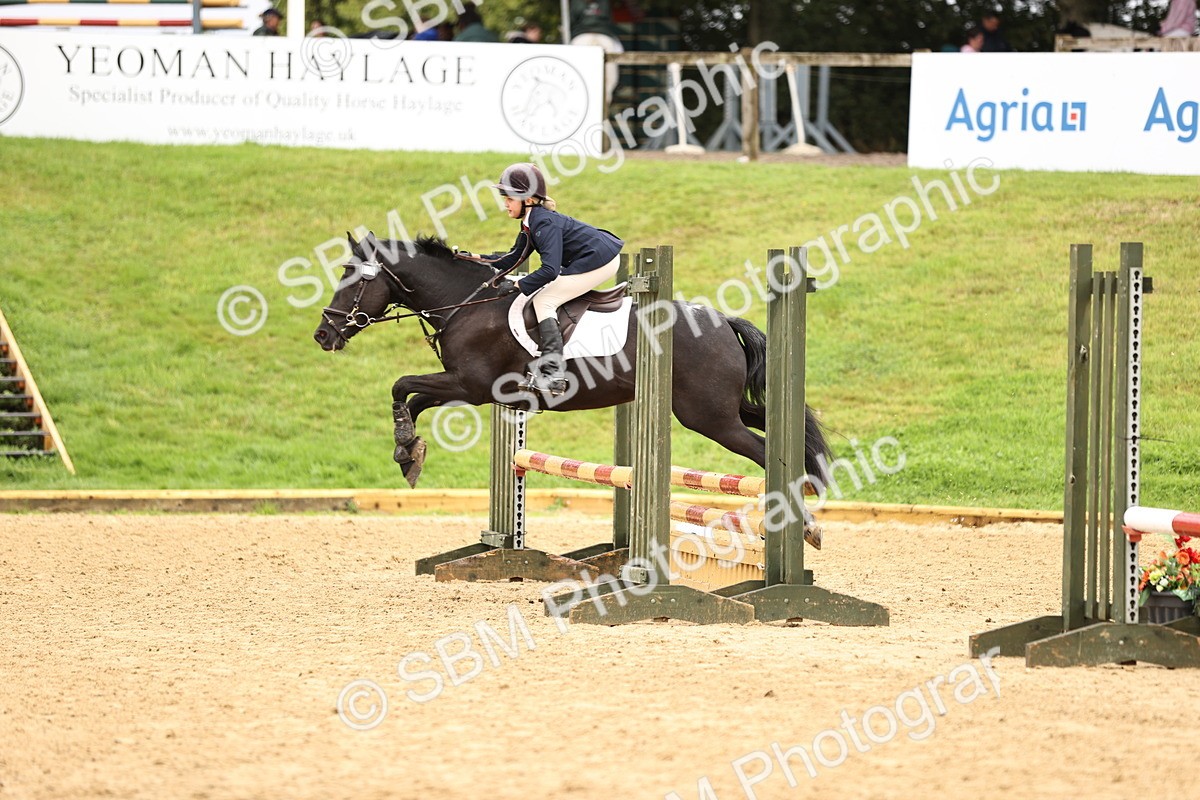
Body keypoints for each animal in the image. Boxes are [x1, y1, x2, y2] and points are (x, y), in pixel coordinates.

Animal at [313, 233, 831, 490]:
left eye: (353, 277)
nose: (323, 334)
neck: (466, 303)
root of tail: (722, 320)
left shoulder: (471, 385)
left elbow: (403, 385)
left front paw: (406, 448)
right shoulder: (463, 385)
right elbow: (413, 399)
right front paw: (409, 453)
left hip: (708, 417)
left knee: (763, 451)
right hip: (718, 409)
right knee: (779, 430)